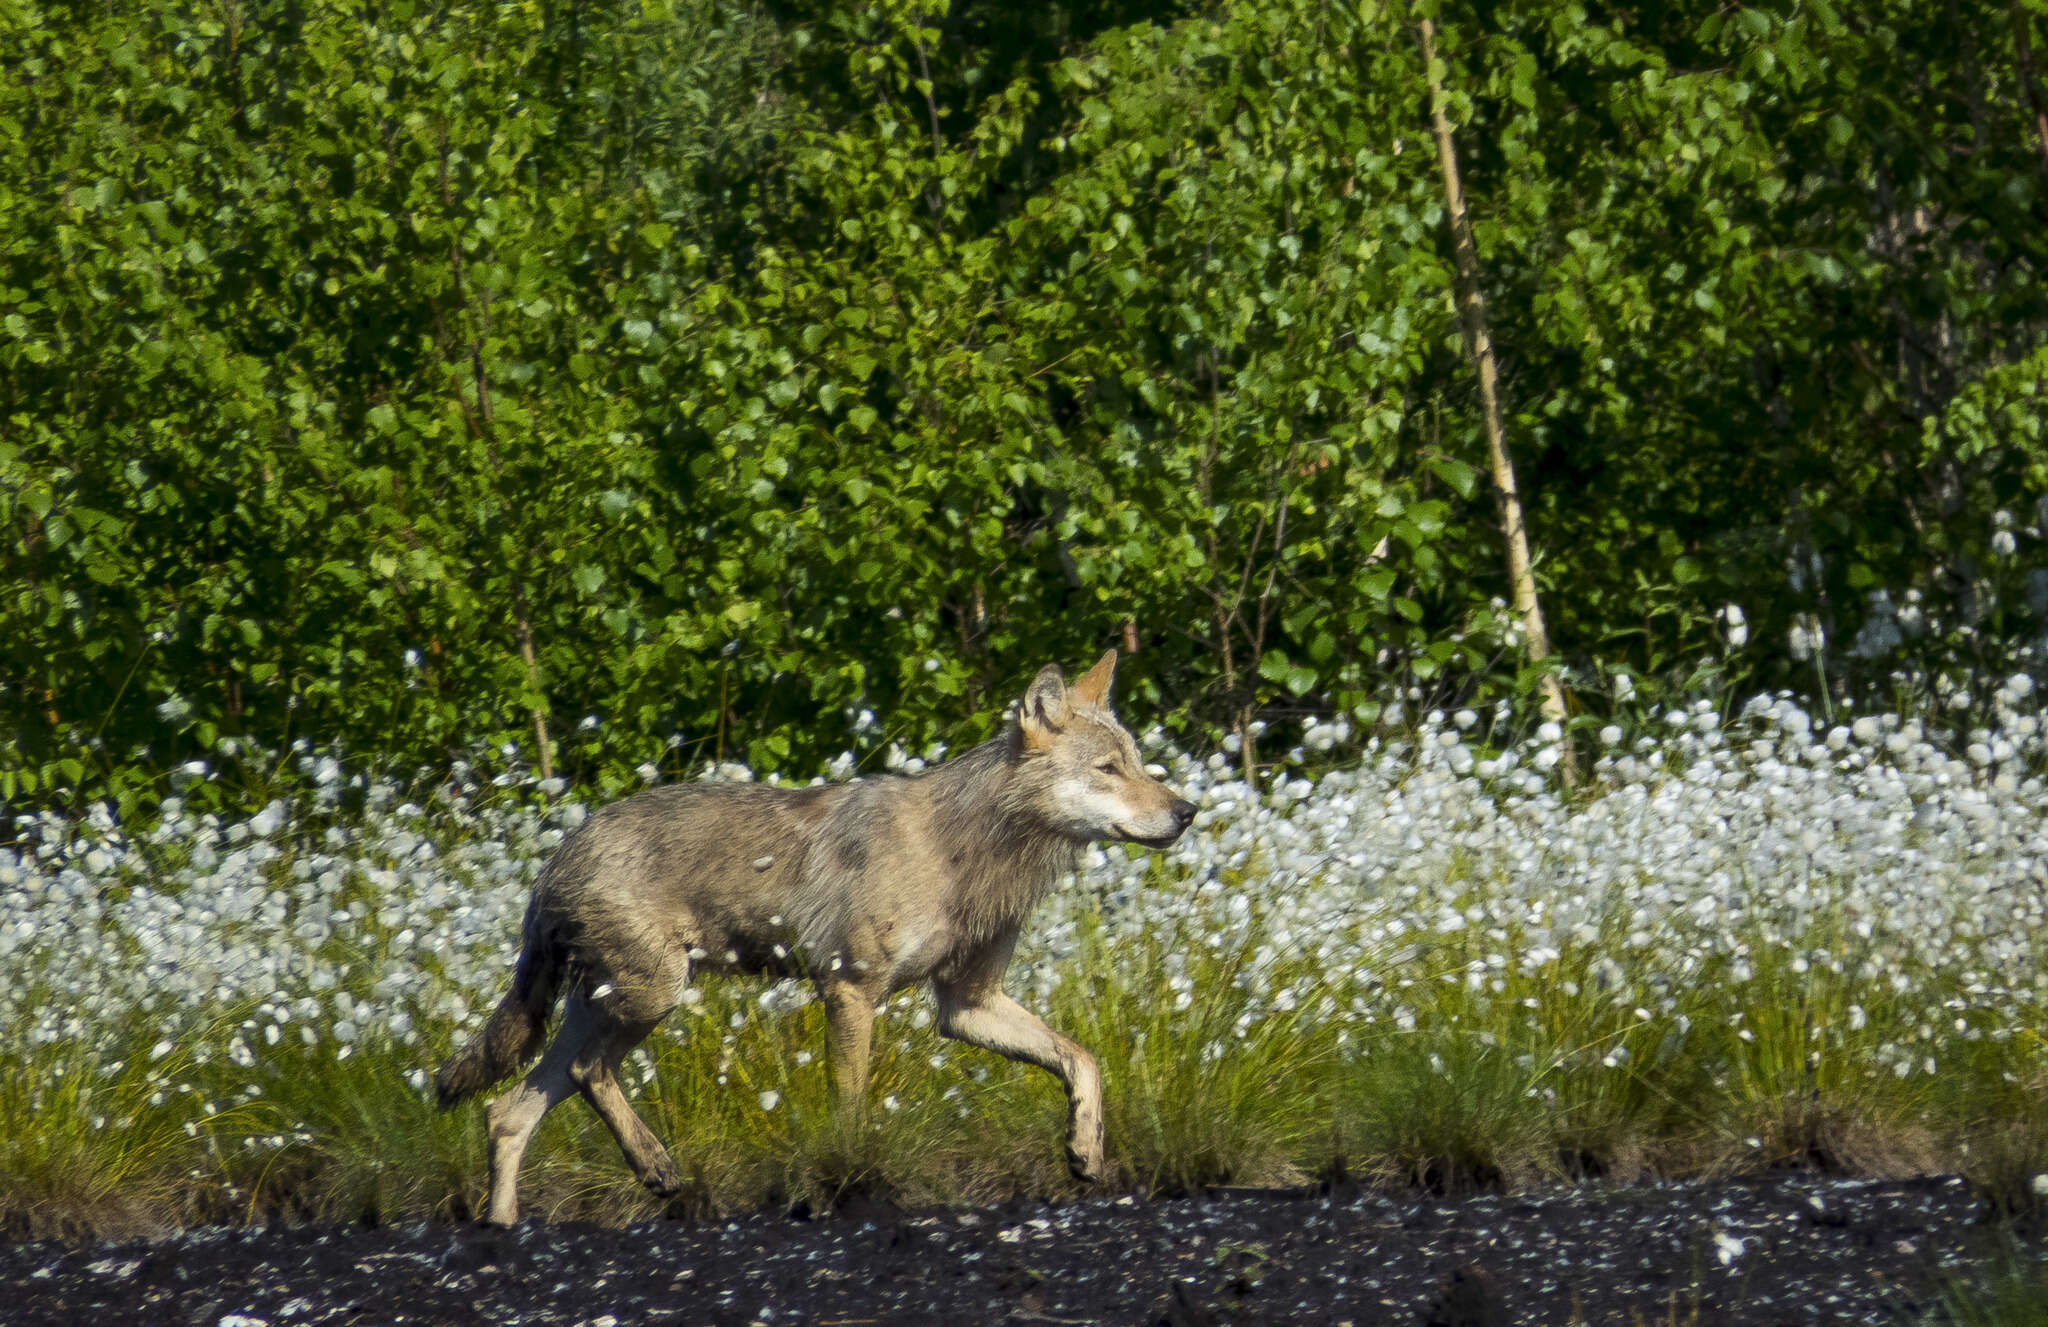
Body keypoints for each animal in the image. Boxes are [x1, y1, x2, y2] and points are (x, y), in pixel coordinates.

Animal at [436, 651, 1196, 1220]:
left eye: (1137, 761)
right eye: (1108, 770)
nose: (1187, 810)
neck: (967, 854)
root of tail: (556, 856)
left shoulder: (966, 1004)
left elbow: (1083, 1060)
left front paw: (1085, 1148)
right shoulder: (851, 989)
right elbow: (850, 1111)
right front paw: (851, 1181)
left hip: (607, 1010)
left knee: (506, 1113)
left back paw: (506, 1228)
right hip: (653, 997)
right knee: (588, 1073)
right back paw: (656, 1166)